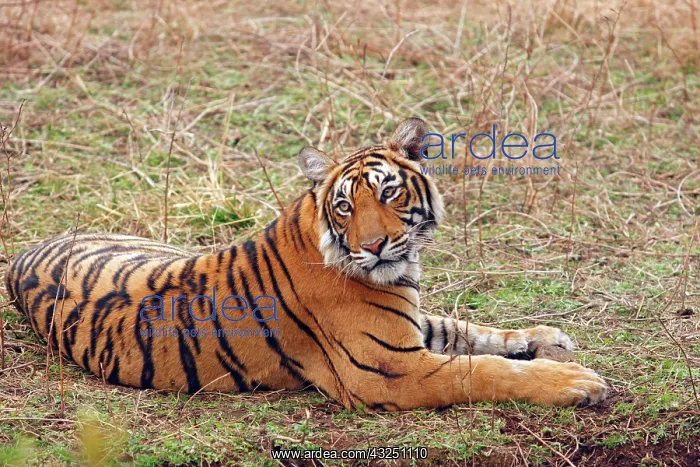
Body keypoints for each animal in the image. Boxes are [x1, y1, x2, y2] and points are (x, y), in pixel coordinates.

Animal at [5, 118, 607, 410]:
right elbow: (482, 369)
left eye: (387, 193)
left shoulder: (413, 325)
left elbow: (471, 331)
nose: (375, 246)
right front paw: (575, 381)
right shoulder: (390, 370)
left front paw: (547, 338)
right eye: (345, 206)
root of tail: (23, 253)